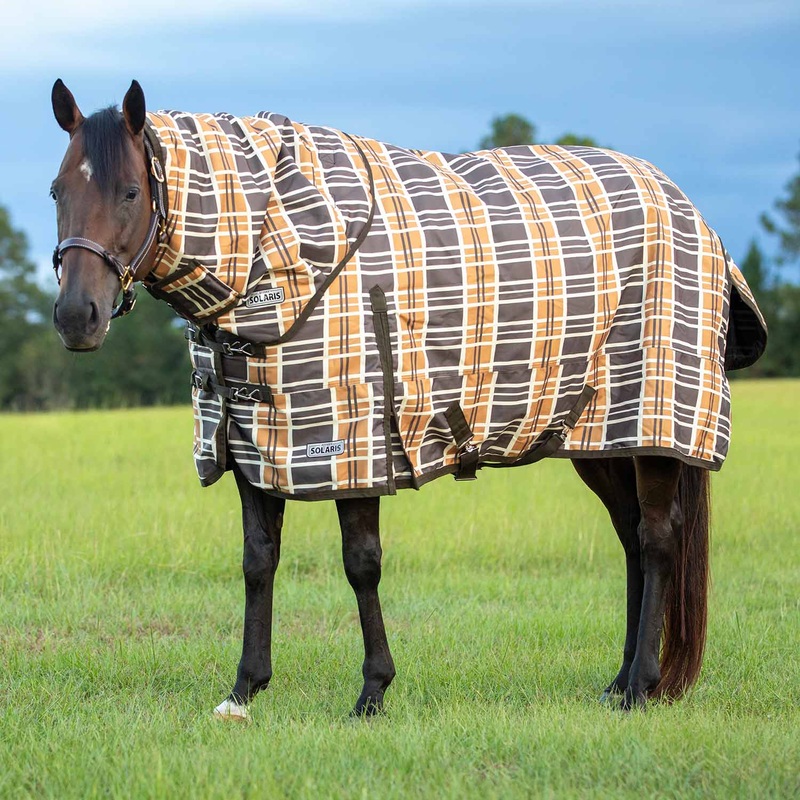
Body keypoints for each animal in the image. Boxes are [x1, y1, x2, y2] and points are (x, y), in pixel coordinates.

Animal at [49, 79, 765, 720]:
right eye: (58, 191)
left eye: (130, 191)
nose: (76, 316)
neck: (276, 242)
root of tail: (688, 209)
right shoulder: (251, 441)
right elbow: (258, 563)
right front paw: (244, 691)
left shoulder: (354, 445)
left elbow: (361, 565)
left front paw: (372, 692)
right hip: (602, 433)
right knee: (631, 540)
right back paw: (618, 684)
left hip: (656, 427)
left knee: (658, 540)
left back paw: (641, 687)